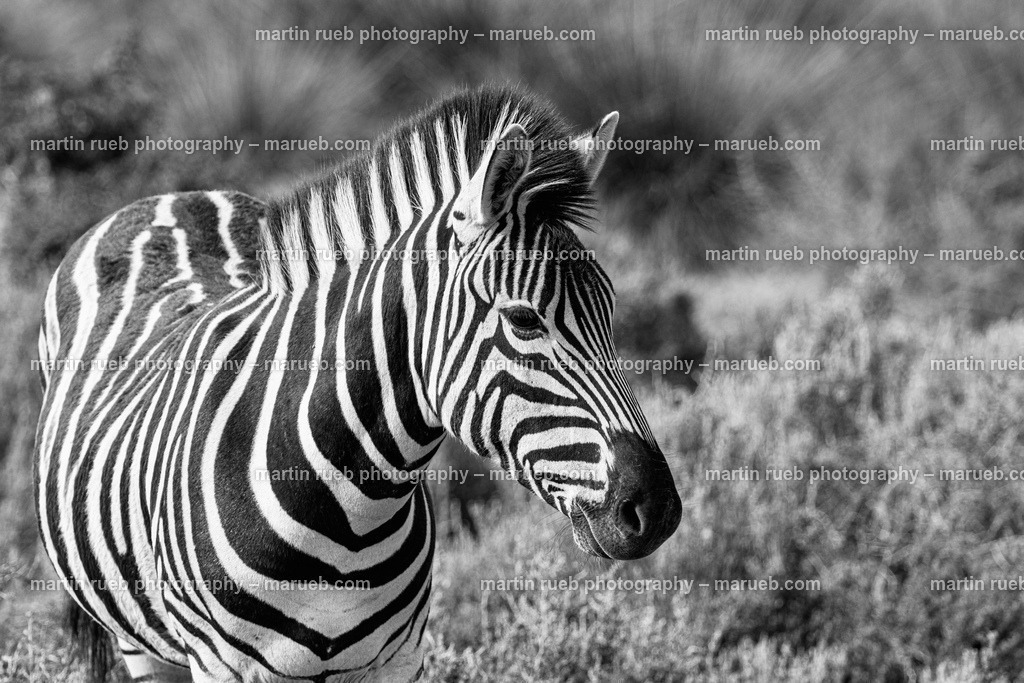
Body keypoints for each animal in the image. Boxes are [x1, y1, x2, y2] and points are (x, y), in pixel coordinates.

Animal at [34, 85, 683, 682]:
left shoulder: (401, 659)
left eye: (612, 312)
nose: (657, 510)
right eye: (524, 319)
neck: (350, 513)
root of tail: (171, 197)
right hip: (138, 642)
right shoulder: (221, 667)